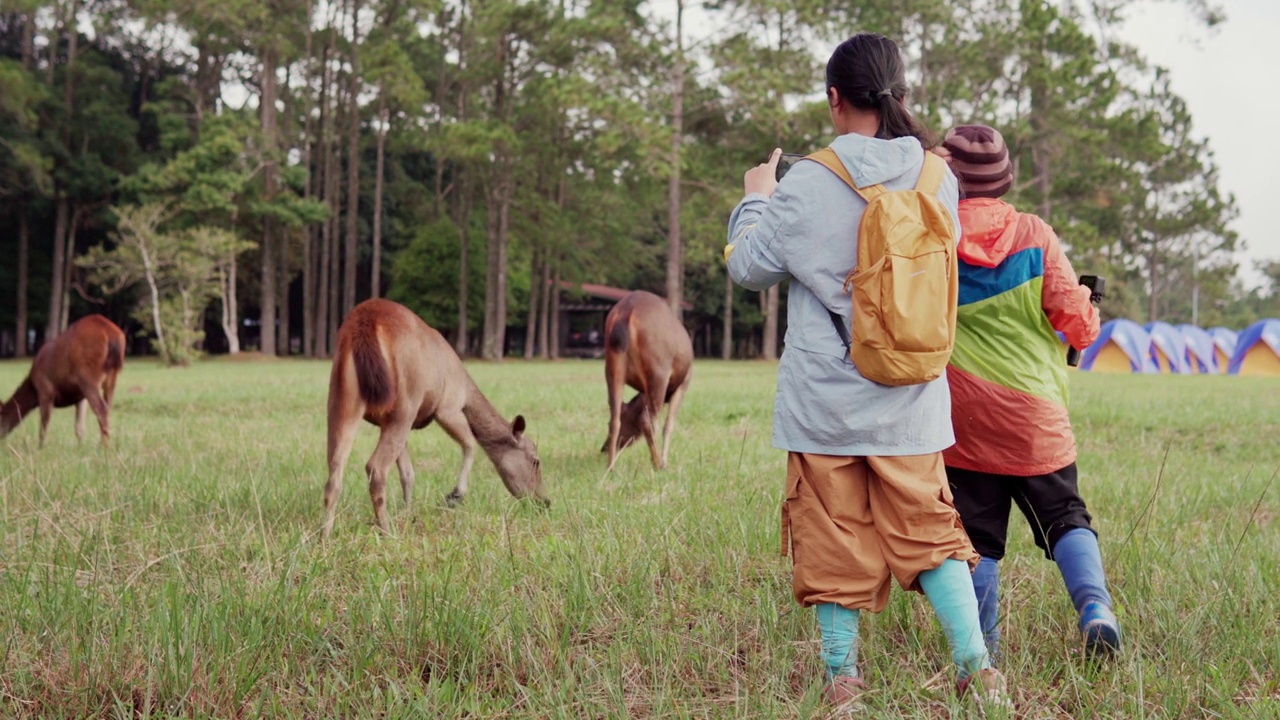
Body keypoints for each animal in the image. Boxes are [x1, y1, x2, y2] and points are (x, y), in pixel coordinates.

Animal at [0, 313, 126, 443]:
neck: (33, 389)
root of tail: (111, 334)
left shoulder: (45, 390)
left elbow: (43, 427)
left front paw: (40, 447)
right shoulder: (80, 397)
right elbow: (79, 428)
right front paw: (81, 446)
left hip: (88, 376)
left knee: (102, 410)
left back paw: (103, 446)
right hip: (112, 376)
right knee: (108, 408)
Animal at [322, 294, 547, 535]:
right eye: (535, 461)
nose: (544, 501)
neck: (466, 390)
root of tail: (364, 324)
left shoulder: (386, 422)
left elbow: (408, 474)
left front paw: (407, 512)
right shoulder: (448, 406)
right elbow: (470, 443)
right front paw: (455, 495)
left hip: (342, 396)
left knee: (335, 470)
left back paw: (325, 534)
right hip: (405, 401)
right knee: (376, 468)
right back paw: (387, 531)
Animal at [599, 288, 691, 468]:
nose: (603, 448)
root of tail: (627, 312)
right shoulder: (684, 381)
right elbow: (669, 425)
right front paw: (665, 461)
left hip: (612, 367)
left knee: (614, 416)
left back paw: (611, 466)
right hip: (658, 371)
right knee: (647, 421)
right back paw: (657, 463)